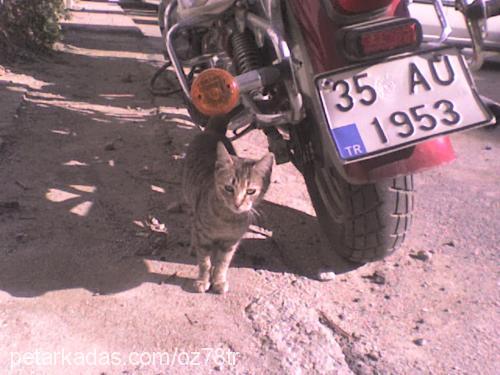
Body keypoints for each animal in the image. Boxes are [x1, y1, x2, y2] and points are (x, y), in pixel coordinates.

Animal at [182, 116, 274, 296]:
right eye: (229, 188)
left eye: (251, 191)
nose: (237, 203)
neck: (227, 220)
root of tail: (213, 131)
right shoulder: (204, 236)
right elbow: (205, 262)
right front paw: (203, 280)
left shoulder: (231, 242)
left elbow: (222, 263)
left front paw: (218, 280)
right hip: (190, 200)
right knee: (192, 224)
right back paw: (193, 245)